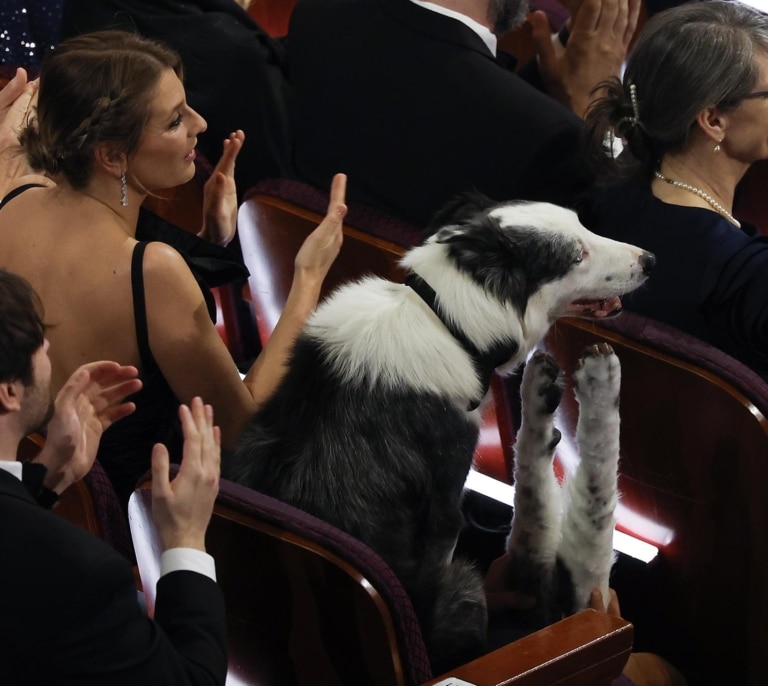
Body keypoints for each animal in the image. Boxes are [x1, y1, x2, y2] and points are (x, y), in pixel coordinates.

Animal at [224, 194, 656, 672]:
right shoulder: (446, 518)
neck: (445, 321)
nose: (650, 260)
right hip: (470, 589)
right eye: (577, 255)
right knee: (575, 526)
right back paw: (597, 384)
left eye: (584, 224)